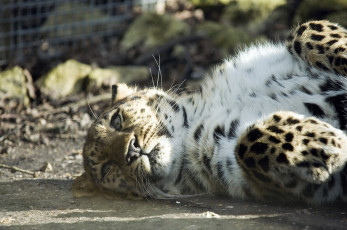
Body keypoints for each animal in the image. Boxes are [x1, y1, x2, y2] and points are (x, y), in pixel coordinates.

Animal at [73, 19, 347, 203]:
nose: (130, 151)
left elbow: (306, 29)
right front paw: (328, 143)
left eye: (117, 120)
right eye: (107, 168)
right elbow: (247, 143)